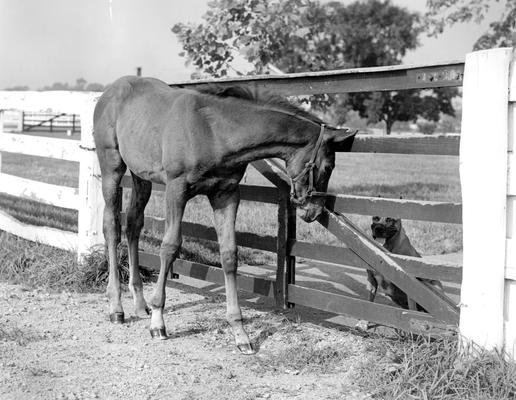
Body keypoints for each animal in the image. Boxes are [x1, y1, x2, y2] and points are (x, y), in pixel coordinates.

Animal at [92, 76, 356, 354]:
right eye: (327, 167)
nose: (314, 211)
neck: (214, 132)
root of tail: (110, 90)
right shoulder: (176, 190)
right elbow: (169, 247)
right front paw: (158, 322)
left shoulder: (226, 195)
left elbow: (229, 255)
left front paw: (240, 333)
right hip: (112, 167)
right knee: (111, 227)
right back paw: (116, 307)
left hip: (141, 176)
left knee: (133, 225)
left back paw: (139, 304)